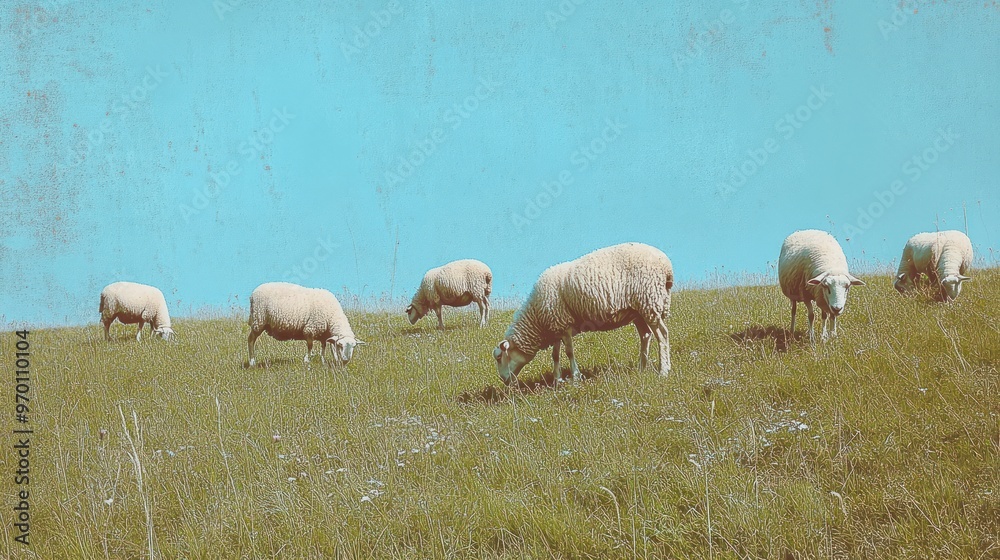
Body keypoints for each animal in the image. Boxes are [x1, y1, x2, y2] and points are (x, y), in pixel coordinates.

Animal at [492, 243, 673, 385]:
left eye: (499, 358)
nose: (505, 381)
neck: (536, 318)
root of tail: (666, 265)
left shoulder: (563, 323)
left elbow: (569, 352)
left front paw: (575, 377)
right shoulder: (555, 325)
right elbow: (555, 355)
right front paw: (557, 380)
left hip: (649, 300)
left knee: (662, 334)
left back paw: (664, 370)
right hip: (639, 310)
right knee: (645, 336)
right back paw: (641, 369)